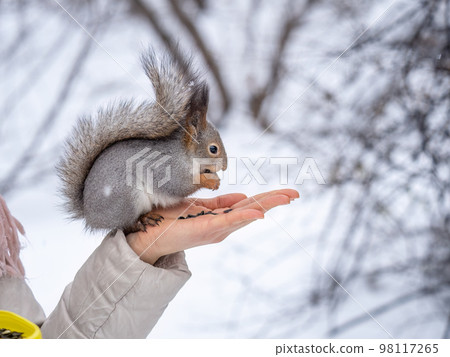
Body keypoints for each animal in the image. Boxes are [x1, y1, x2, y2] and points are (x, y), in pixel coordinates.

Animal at [56, 48, 229, 232]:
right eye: (213, 149)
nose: (225, 166)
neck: (184, 155)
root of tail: (91, 217)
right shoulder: (168, 170)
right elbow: (180, 186)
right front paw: (208, 181)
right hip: (127, 198)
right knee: (127, 225)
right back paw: (144, 220)